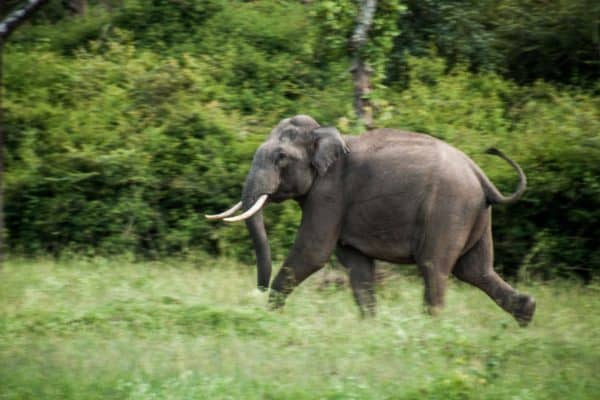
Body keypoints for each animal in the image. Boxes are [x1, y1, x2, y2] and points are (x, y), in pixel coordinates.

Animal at [207, 114, 540, 326]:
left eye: (281, 158)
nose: (257, 294)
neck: (324, 133)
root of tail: (482, 176)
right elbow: (356, 264)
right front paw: (370, 325)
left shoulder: (330, 193)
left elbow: (313, 252)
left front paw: (272, 313)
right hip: (475, 215)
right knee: (476, 270)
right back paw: (526, 315)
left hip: (449, 210)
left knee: (435, 267)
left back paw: (429, 328)